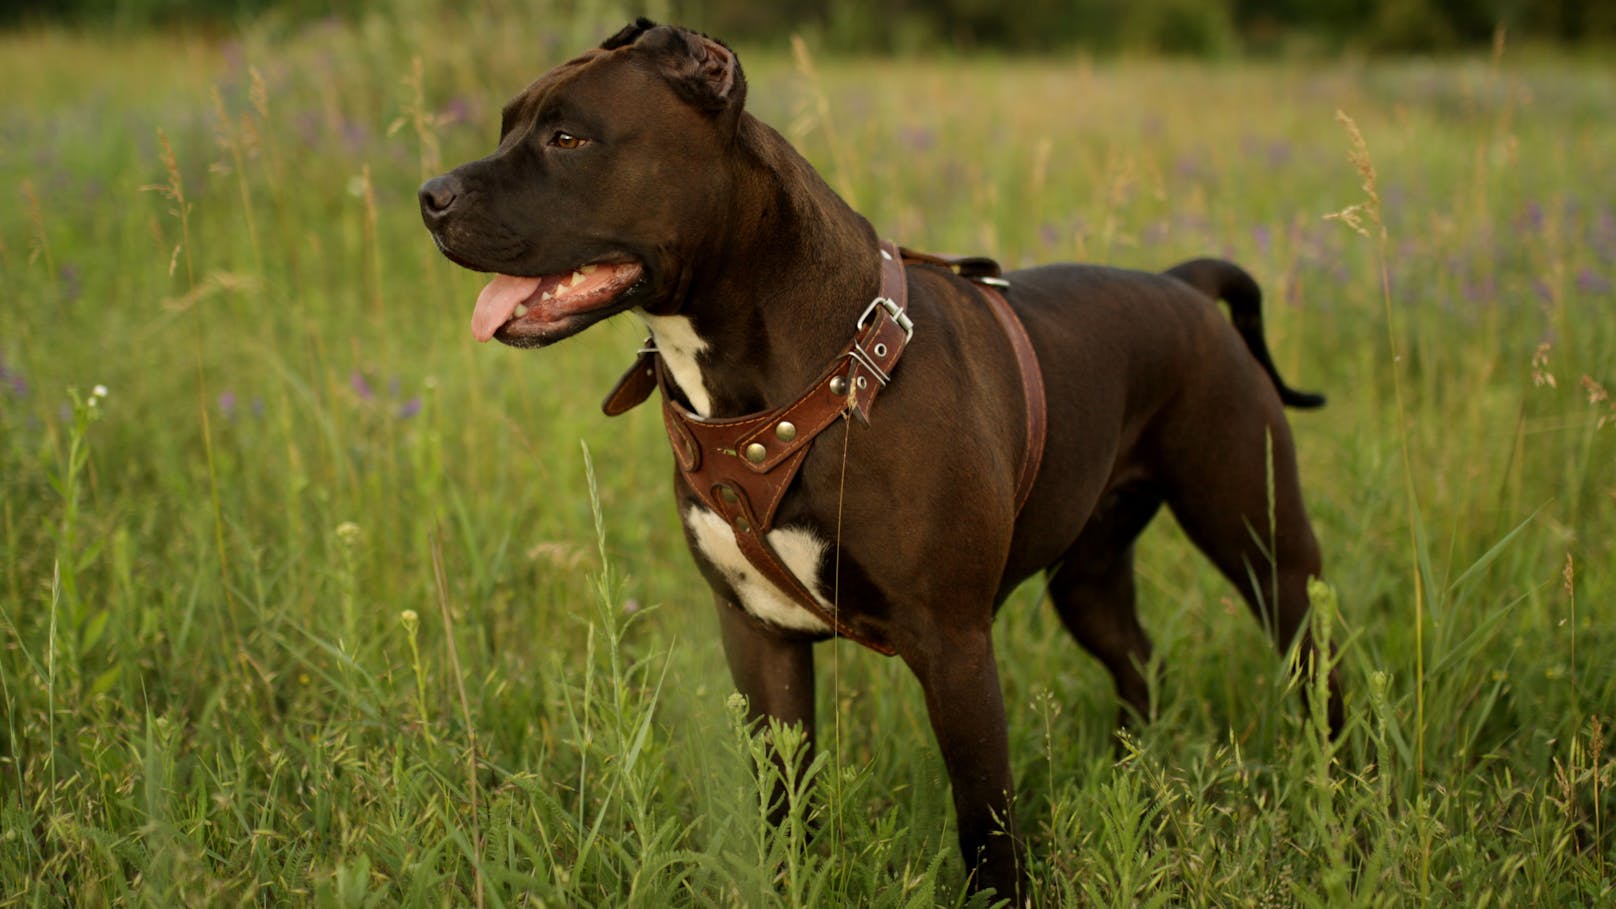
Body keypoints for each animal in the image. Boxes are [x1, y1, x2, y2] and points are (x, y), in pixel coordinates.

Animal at [416, 17, 1338, 892]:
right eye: (506, 126)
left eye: (568, 139)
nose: (429, 194)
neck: (816, 375)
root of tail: (1184, 284)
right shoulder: (759, 633)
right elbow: (783, 798)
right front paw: (787, 884)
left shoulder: (955, 645)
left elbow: (985, 822)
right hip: (1089, 571)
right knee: (1137, 657)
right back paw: (1131, 779)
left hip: (1266, 548)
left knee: (1311, 662)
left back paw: (1333, 788)